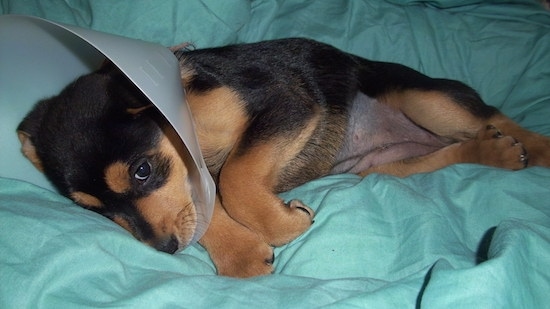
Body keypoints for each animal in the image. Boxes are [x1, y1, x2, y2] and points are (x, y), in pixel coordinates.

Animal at [17, 38, 550, 276]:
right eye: (95, 211)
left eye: (142, 171)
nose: (165, 250)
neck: (186, 115)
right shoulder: (193, 184)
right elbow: (208, 209)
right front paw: (242, 256)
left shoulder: (287, 103)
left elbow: (236, 180)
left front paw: (285, 224)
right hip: (386, 164)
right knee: (455, 150)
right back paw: (494, 152)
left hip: (425, 100)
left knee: (495, 116)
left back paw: (536, 147)